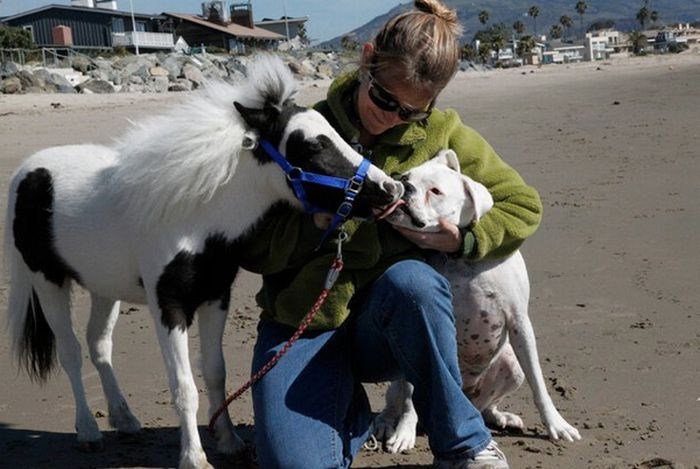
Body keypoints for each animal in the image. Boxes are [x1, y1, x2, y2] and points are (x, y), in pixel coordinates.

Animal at [4, 55, 404, 468]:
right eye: (309, 146)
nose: (390, 189)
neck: (192, 217)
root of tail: (26, 171)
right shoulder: (169, 306)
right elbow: (183, 386)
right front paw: (194, 456)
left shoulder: (216, 297)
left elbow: (215, 372)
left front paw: (228, 441)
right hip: (47, 281)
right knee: (70, 353)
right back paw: (88, 431)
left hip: (104, 286)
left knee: (98, 345)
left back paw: (125, 419)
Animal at [374, 148, 584, 452]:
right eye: (405, 176)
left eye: (435, 191)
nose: (405, 184)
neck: (459, 259)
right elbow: (410, 397)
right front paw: (404, 432)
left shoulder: (519, 321)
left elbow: (539, 383)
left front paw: (556, 424)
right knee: (397, 397)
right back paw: (386, 422)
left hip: (512, 366)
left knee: (486, 407)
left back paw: (502, 417)